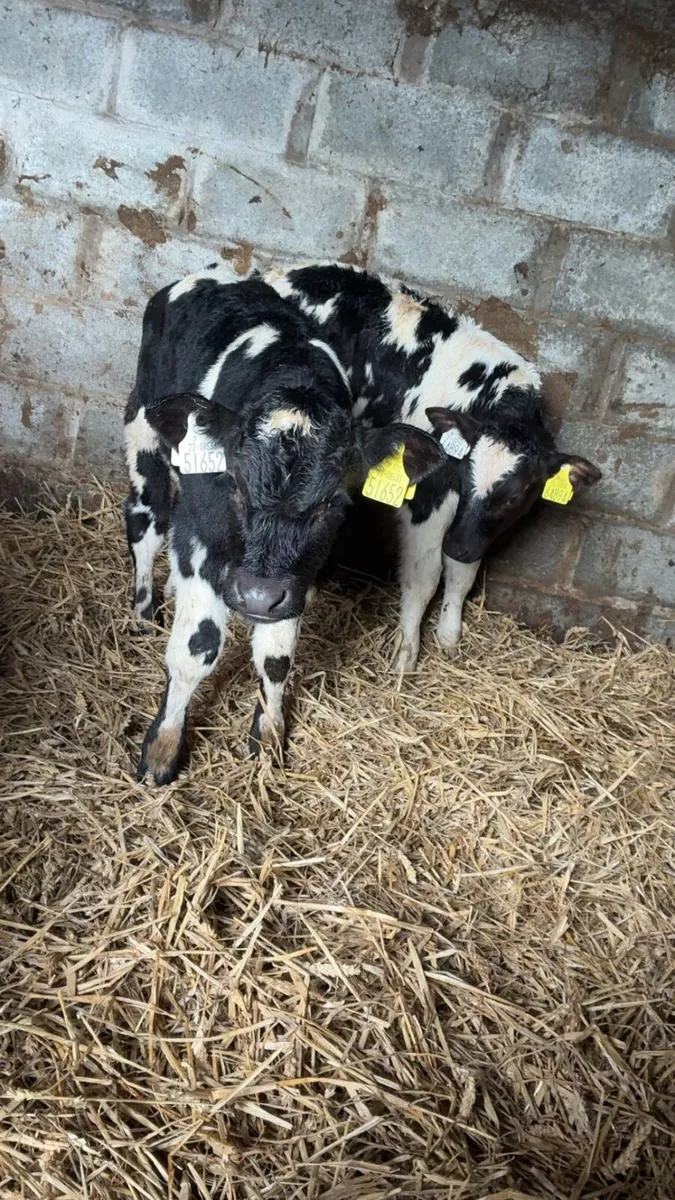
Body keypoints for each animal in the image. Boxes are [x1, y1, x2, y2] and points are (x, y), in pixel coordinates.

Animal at [124, 265, 447, 784]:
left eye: (334, 501)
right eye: (233, 482)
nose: (256, 596)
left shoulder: (300, 575)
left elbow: (276, 658)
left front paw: (269, 736)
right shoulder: (201, 534)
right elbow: (198, 645)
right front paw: (162, 750)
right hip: (143, 430)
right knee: (145, 520)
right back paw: (142, 611)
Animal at [263, 262, 602, 671]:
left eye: (516, 497)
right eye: (464, 476)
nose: (457, 544)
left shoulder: (476, 527)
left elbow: (463, 571)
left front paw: (449, 634)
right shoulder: (429, 492)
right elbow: (426, 574)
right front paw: (406, 652)